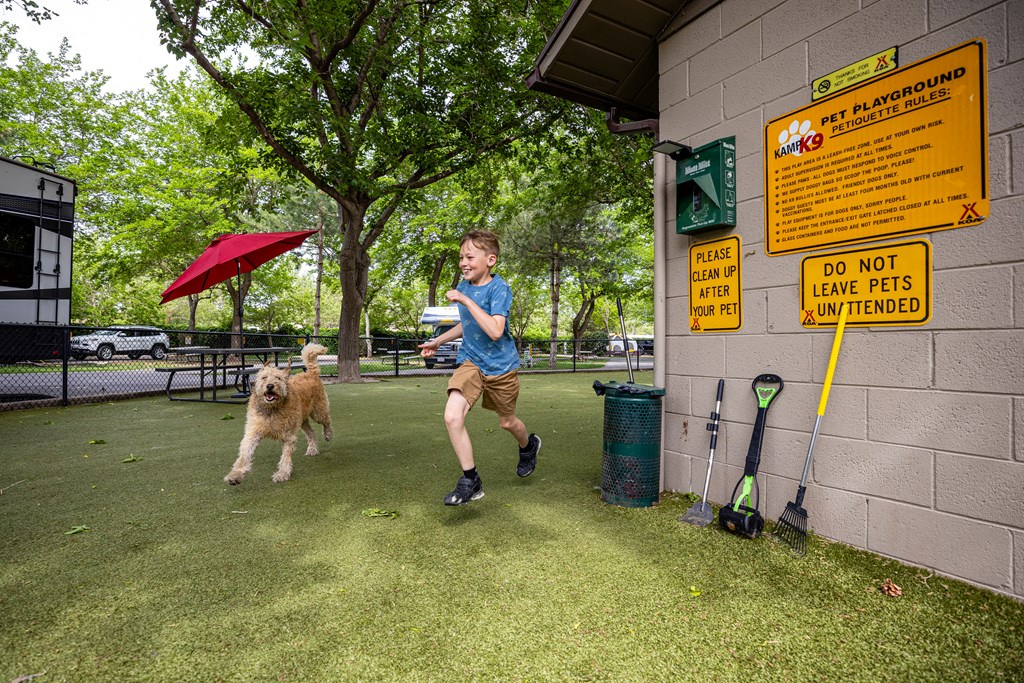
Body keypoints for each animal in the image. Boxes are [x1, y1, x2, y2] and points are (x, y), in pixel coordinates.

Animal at [225, 342, 333, 485]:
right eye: (264, 377)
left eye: (278, 378)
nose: (270, 386)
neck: (272, 409)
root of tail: (310, 373)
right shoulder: (253, 432)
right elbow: (244, 454)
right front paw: (235, 475)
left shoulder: (288, 436)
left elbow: (285, 457)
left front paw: (282, 473)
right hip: (301, 420)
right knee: (311, 431)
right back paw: (312, 449)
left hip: (318, 412)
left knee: (327, 421)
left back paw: (328, 434)